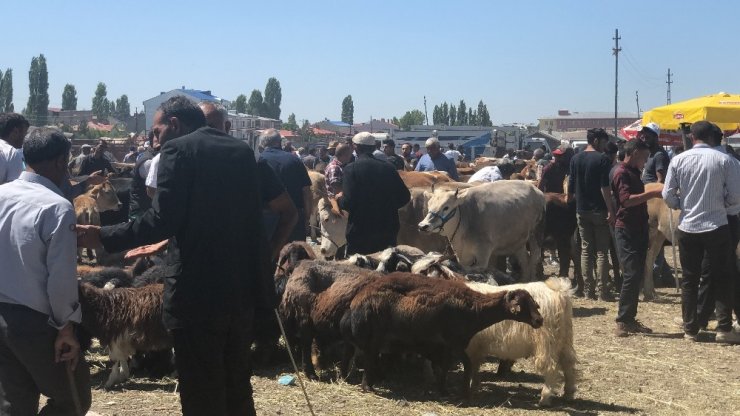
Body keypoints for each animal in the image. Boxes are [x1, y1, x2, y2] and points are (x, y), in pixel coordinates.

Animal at [342, 274, 544, 398]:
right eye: (520, 304)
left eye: (534, 303)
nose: (539, 320)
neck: (475, 308)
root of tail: (355, 303)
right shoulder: (454, 343)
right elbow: (463, 365)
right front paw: (459, 391)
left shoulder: (449, 346)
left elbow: (449, 367)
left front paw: (446, 389)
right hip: (373, 339)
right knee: (369, 360)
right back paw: (367, 387)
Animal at [420, 181, 548, 282]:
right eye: (429, 205)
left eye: (446, 207)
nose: (423, 226)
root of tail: (538, 191)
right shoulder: (464, 255)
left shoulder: (483, 253)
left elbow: (471, 269)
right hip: (518, 240)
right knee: (524, 259)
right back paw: (524, 280)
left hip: (535, 234)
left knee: (535, 257)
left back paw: (532, 279)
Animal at [462, 276, 580, 406]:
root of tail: (559, 292)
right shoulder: (475, 348)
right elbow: (474, 366)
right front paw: (474, 385)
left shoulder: (471, 346)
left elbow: (471, 367)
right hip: (564, 339)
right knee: (568, 364)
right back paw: (568, 394)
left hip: (547, 342)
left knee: (551, 367)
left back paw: (544, 398)